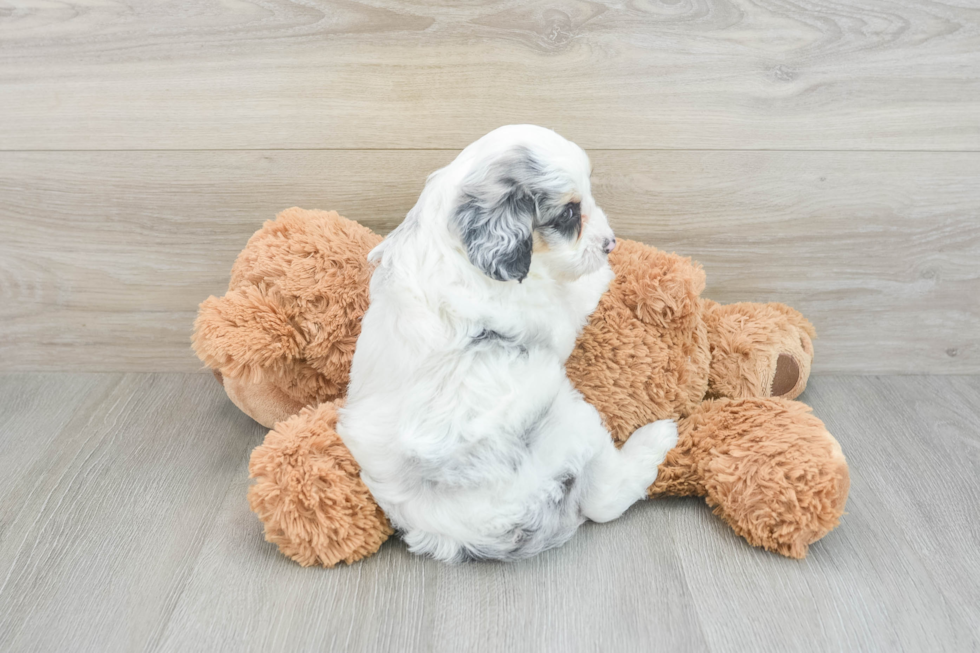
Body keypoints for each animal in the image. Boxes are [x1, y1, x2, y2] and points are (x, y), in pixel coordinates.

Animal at [334, 123, 672, 560]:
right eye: (568, 213)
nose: (610, 243)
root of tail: (470, 533)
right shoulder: (552, 314)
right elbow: (578, 292)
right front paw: (606, 272)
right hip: (571, 422)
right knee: (603, 500)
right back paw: (657, 438)